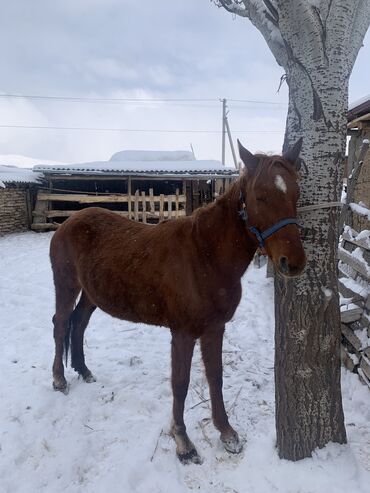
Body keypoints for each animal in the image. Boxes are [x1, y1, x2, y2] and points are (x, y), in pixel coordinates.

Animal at [49, 137, 306, 462]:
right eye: (260, 196)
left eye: (296, 192)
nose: (293, 263)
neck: (205, 256)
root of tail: (68, 222)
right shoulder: (183, 333)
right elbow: (180, 383)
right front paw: (183, 441)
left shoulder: (215, 329)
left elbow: (215, 377)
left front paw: (226, 432)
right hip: (66, 285)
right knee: (61, 324)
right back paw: (59, 379)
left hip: (91, 293)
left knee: (79, 323)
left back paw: (83, 370)